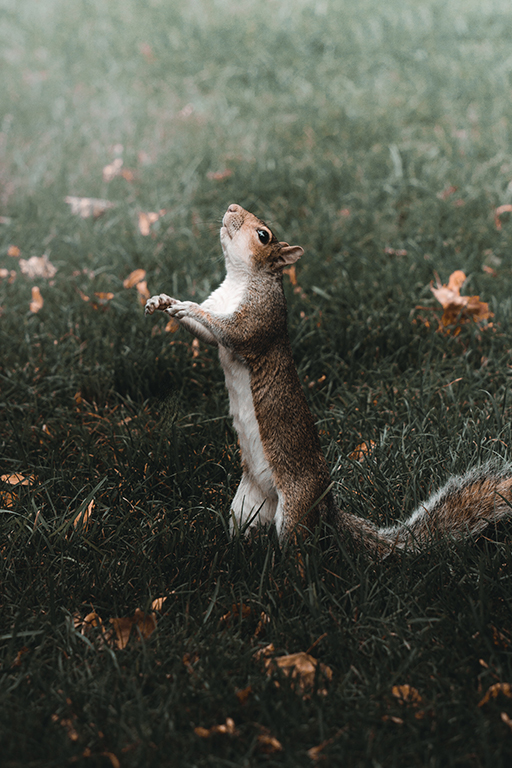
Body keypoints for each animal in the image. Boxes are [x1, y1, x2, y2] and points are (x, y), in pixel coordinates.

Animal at [143, 202, 512, 552]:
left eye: (263, 235)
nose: (232, 208)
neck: (240, 279)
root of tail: (328, 506)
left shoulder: (260, 318)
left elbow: (234, 333)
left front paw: (187, 306)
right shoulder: (220, 311)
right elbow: (207, 334)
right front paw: (163, 301)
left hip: (296, 509)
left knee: (304, 555)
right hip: (246, 505)